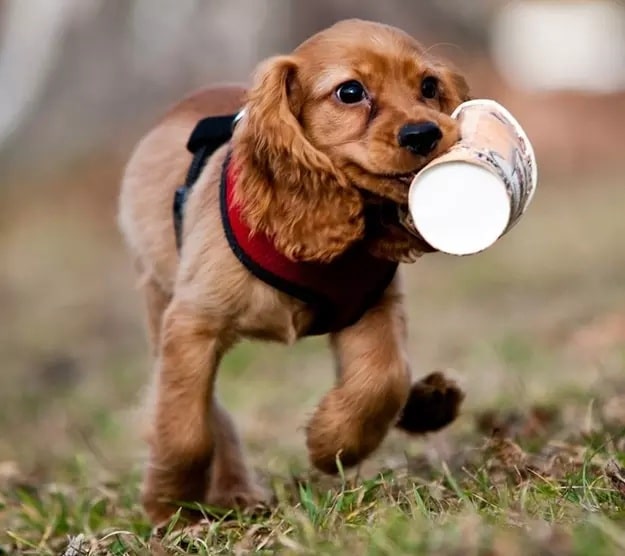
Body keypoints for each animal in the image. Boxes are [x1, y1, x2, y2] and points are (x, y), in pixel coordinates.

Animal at [117, 18, 468, 524]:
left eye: (428, 86)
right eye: (350, 92)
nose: (424, 134)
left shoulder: (373, 307)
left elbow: (382, 379)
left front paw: (332, 442)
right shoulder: (191, 323)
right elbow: (186, 429)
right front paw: (171, 502)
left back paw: (427, 403)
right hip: (158, 300)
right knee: (206, 410)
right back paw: (234, 491)